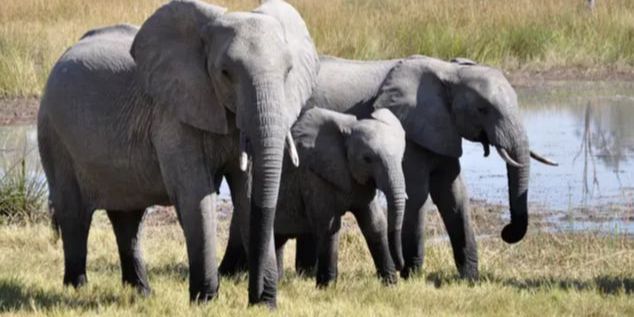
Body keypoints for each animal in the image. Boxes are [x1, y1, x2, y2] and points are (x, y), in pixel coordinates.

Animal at [37, 0, 318, 306]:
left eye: (288, 72)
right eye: (225, 73)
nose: (256, 296)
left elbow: (247, 193)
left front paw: (263, 304)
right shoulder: (173, 116)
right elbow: (196, 195)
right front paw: (205, 301)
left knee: (128, 219)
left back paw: (141, 292)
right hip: (54, 135)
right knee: (74, 214)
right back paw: (77, 288)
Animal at [272, 107, 404, 286]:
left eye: (402, 156)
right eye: (367, 159)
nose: (400, 266)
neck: (347, 130)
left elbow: (375, 224)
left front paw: (390, 284)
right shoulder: (313, 175)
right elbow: (329, 226)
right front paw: (327, 287)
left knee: (278, 240)